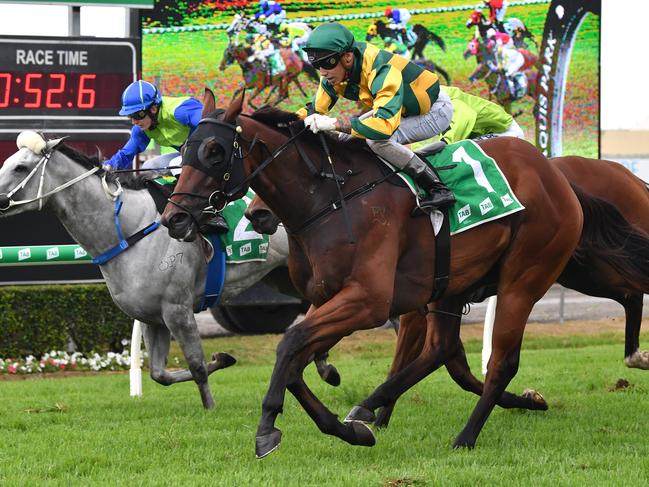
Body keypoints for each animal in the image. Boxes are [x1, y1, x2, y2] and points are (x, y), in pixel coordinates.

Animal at [0, 132, 336, 410]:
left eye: (20, 168)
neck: (129, 232)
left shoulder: (178, 309)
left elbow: (197, 365)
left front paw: (210, 407)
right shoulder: (152, 317)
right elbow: (159, 374)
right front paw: (222, 359)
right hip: (286, 278)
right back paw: (323, 364)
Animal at [163, 90, 588, 458]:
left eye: (214, 151)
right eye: (183, 150)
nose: (174, 218)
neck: (331, 200)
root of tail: (551, 169)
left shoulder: (368, 301)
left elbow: (289, 345)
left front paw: (267, 428)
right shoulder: (328, 298)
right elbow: (297, 363)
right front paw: (348, 429)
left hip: (523, 279)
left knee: (501, 362)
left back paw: (464, 436)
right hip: (452, 284)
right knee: (442, 349)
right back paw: (375, 407)